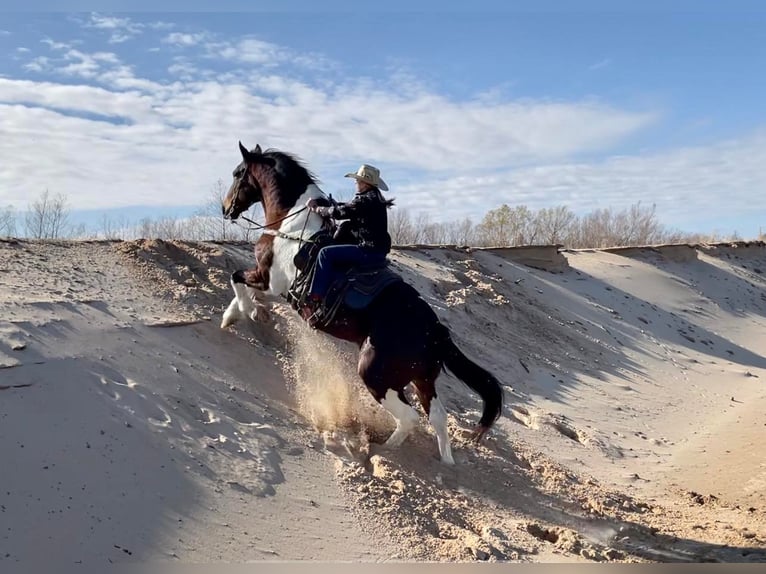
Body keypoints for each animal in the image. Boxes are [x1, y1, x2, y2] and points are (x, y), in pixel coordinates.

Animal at [220, 142, 504, 466]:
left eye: (238, 173)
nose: (225, 208)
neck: (291, 225)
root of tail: (435, 332)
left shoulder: (271, 282)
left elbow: (237, 279)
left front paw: (246, 314)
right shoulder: (271, 285)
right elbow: (239, 285)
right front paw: (234, 315)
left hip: (376, 376)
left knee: (409, 418)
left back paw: (379, 451)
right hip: (422, 380)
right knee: (438, 418)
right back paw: (445, 464)